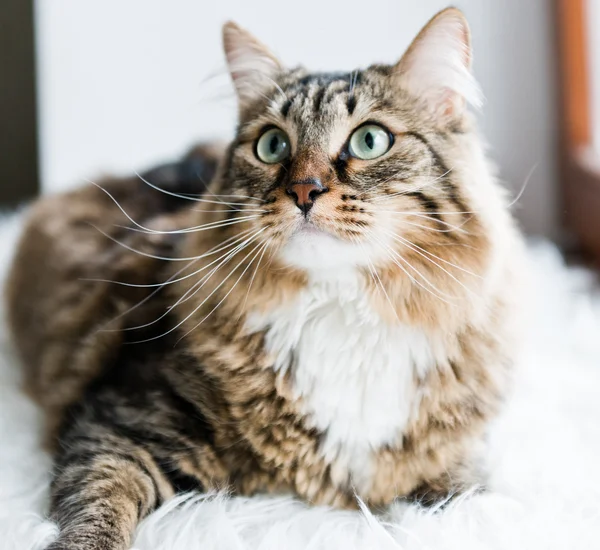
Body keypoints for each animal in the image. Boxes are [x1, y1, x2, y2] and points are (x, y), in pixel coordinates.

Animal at [4, 8, 524, 550]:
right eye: (272, 146)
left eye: (370, 139)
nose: (304, 190)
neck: (340, 312)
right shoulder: (121, 424)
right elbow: (98, 509)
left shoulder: (455, 460)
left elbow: (470, 503)